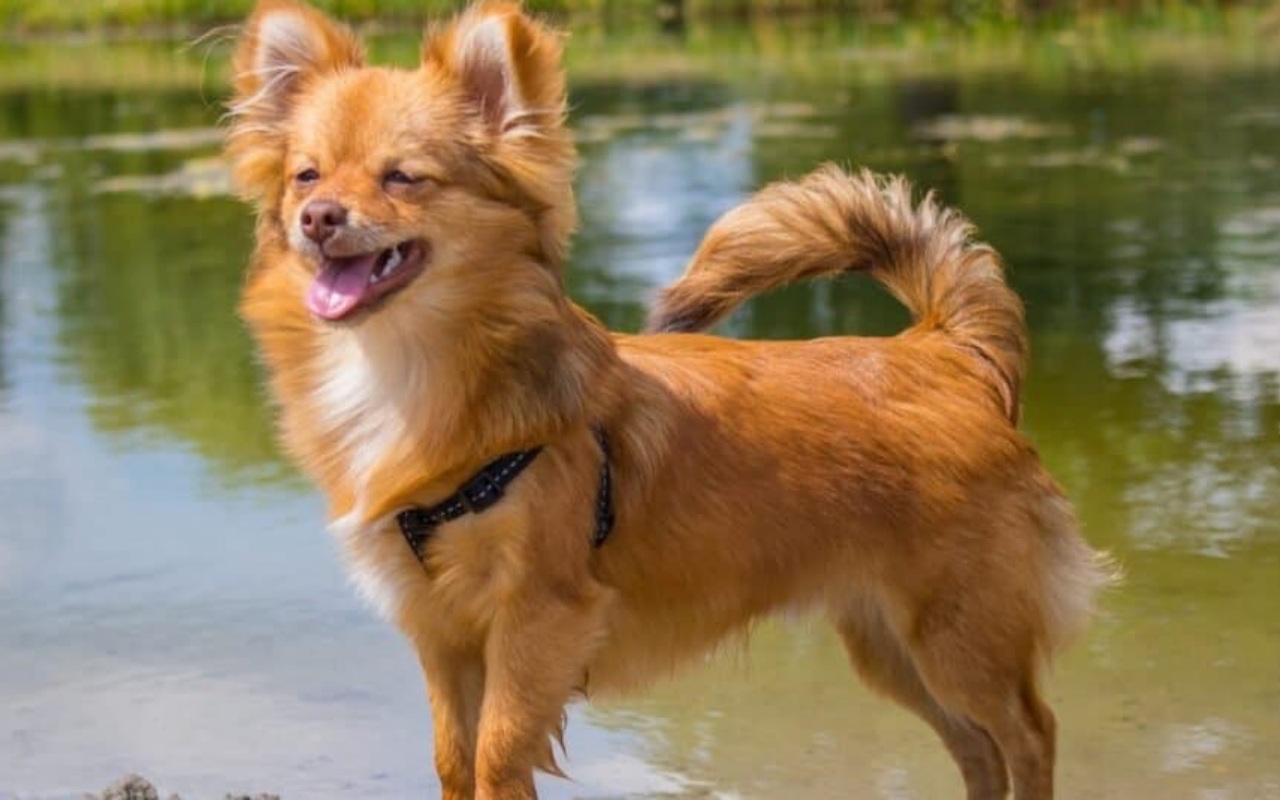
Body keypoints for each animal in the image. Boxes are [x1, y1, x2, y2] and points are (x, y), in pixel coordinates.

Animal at [225, 3, 1116, 793]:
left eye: (404, 178)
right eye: (305, 176)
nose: (317, 217)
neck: (405, 368)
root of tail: (945, 349)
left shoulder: (536, 620)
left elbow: (496, 759)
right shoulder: (442, 633)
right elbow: (454, 762)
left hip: (958, 635)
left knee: (1030, 734)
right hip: (892, 644)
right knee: (979, 748)